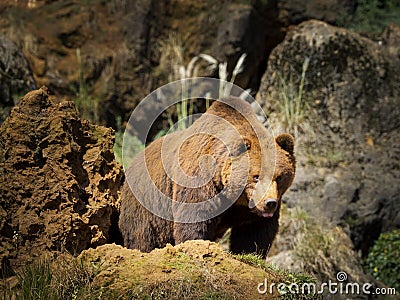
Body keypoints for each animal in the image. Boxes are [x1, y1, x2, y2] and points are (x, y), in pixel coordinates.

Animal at [119, 97, 294, 256]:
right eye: (256, 176)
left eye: (280, 177)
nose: (269, 203)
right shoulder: (199, 180)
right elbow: (194, 218)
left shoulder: (249, 210)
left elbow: (255, 232)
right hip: (147, 205)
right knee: (142, 236)